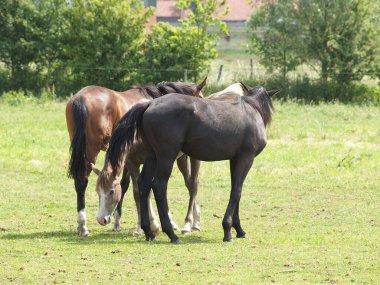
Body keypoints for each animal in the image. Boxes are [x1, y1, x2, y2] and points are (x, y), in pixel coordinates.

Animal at [107, 82, 280, 242]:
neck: (252, 111)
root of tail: (149, 104)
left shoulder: (235, 159)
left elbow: (236, 190)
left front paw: (239, 229)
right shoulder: (246, 158)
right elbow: (236, 191)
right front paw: (228, 231)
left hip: (152, 157)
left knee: (143, 184)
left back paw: (149, 232)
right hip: (165, 157)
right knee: (159, 185)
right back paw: (171, 234)